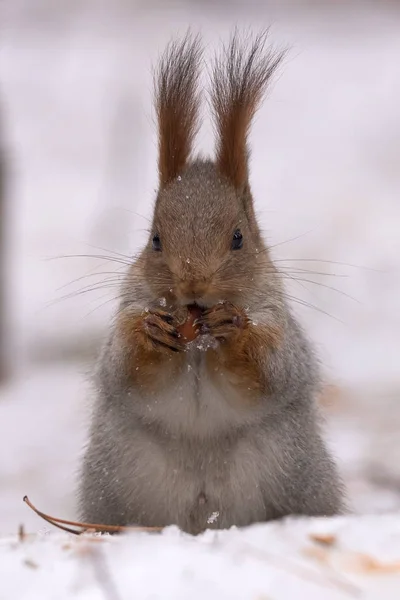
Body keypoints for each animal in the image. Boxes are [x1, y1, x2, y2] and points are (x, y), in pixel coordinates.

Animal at [77, 31, 344, 536]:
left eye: (239, 237)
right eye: (155, 239)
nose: (193, 284)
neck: (197, 337)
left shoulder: (278, 320)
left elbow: (275, 371)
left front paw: (235, 332)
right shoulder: (127, 310)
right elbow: (122, 368)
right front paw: (150, 332)